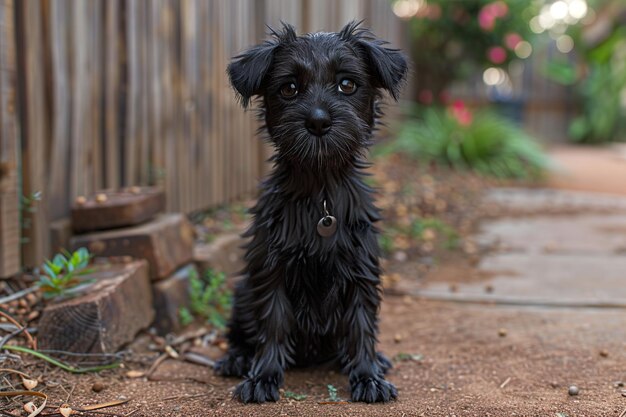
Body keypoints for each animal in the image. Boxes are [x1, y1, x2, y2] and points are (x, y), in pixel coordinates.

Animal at [214, 20, 408, 404]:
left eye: (347, 84)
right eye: (289, 88)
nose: (318, 121)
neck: (321, 195)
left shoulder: (360, 272)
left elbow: (361, 327)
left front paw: (368, 375)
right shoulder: (271, 271)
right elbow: (272, 325)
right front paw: (263, 376)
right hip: (243, 292)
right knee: (240, 332)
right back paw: (237, 358)